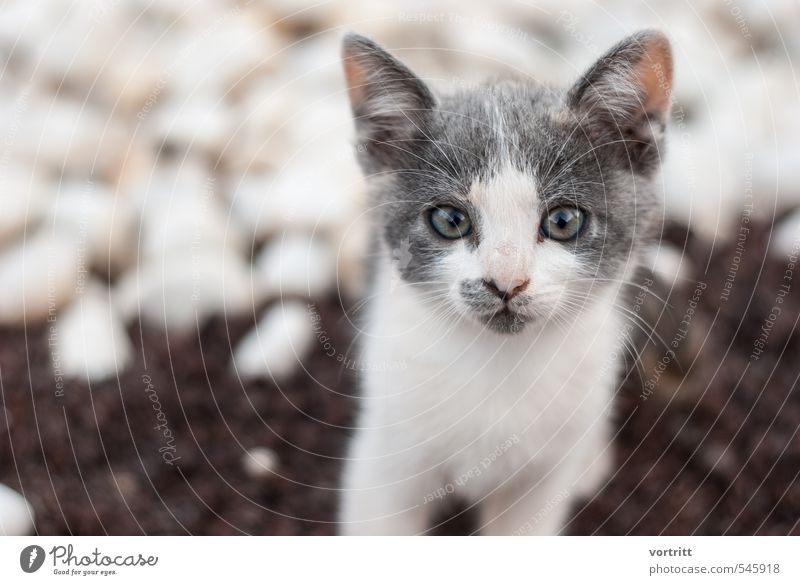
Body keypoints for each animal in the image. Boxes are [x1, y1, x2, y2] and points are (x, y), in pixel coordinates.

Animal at [340, 32, 676, 532]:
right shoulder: (385, 454)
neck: (500, 365)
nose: (506, 283)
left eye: (563, 221)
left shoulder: (541, 478)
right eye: (450, 220)